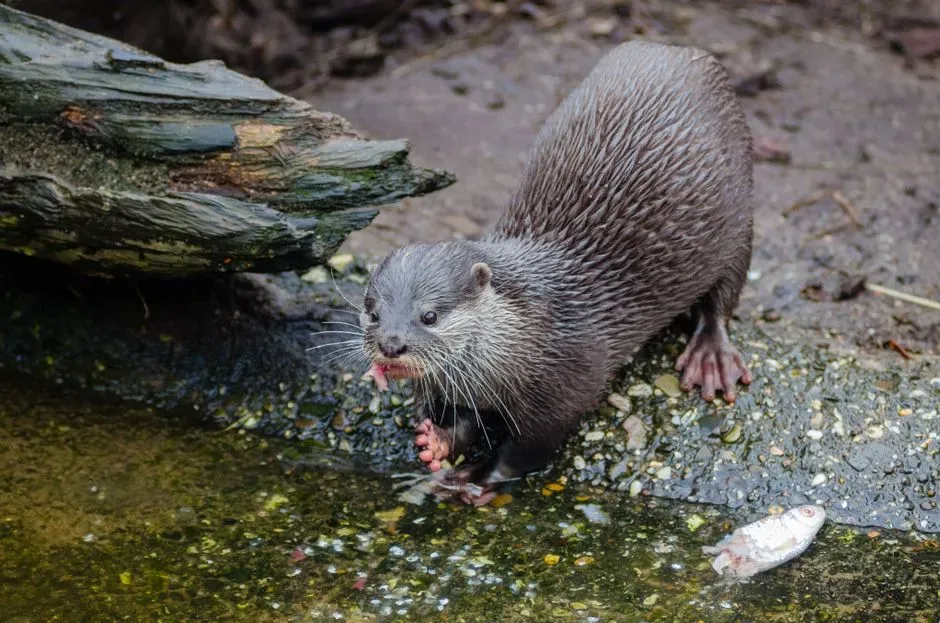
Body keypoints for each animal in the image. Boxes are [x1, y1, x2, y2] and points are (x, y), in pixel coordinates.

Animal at [359, 41, 754, 505]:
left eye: (430, 315)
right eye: (372, 312)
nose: (391, 344)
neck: (532, 333)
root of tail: (678, 50)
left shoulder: (567, 383)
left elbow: (528, 450)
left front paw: (475, 477)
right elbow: (465, 422)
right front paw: (436, 441)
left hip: (739, 219)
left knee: (722, 297)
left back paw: (712, 356)